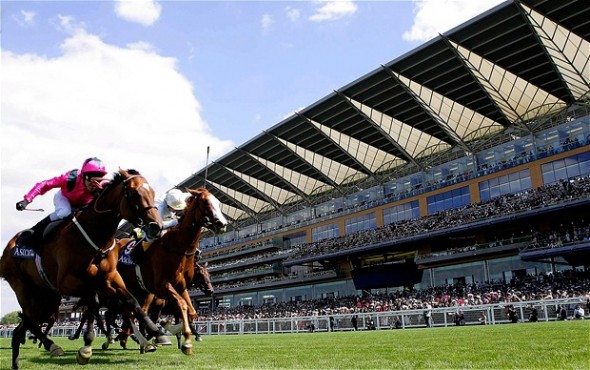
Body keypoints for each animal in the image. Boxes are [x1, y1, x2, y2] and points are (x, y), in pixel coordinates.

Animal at [0, 169, 171, 368]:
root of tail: (7, 249)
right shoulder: (67, 282)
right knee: (29, 319)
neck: (94, 236)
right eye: (134, 193)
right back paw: (53, 345)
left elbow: (131, 301)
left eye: (152, 192)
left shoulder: (110, 277)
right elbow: (94, 302)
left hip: (46, 296)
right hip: (23, 287)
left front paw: (156, 333)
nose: (156, 226)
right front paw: (87, 344)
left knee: (23, 327)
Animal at [117, 188, 227, 356]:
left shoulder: (180, 288)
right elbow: (182, 306)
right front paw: (183, 340)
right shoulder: (163, 285)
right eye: (205, 202)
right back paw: (138, 340)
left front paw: (173, 331)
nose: (222, 224)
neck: (177, 249)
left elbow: (191, 312)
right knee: (132, 313)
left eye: (218, 202)